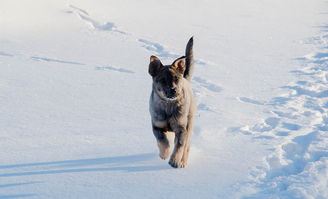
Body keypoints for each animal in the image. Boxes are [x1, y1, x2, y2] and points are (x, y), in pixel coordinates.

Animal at [149, 37, 195, 168]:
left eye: (176, 79)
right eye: (163, 80)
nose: (174, 90)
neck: (168, 106)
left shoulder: (181, 129)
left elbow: (179, 145)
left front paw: (174, 161)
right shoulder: (157, 126)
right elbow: (162, 140)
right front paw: (164, 154)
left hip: (189, 122)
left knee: (186, 146)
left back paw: (182, 162)